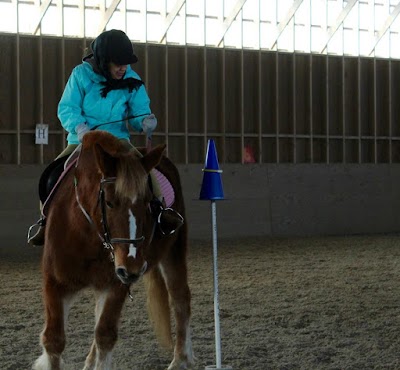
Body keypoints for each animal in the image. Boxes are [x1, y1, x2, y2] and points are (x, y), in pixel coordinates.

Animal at [32, 131, 194, 370]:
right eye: (108, 202)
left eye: (148, 203)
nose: (133, 266)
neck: (88, 233)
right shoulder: (56, 283)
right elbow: (53, 339)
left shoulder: (117, 283)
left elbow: (105, 335)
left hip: (173, 251)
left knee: (180, 298)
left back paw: (180, 359)